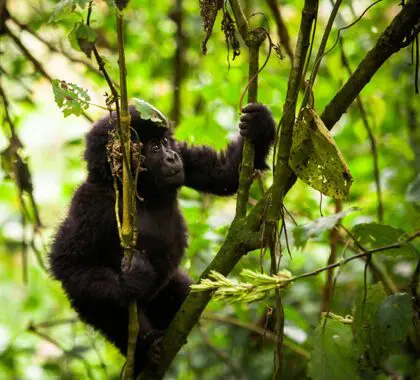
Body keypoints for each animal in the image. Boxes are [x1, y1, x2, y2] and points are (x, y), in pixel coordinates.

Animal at [49, 102, 276, 376]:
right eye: (155, 148)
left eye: (166, 142)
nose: (171, 157)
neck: (137, 190)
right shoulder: (91, 202)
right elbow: (69, 261)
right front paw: (131, 281)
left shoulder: (185, 157)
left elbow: (223, 173)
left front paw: (259, 126)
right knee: (108, 306)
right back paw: (145, 350)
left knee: (177, 288)